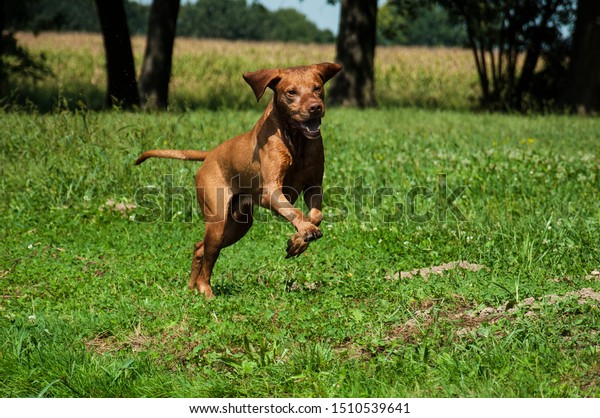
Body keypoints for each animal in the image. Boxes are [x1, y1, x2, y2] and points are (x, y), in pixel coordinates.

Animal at [137, 61, 342, 298]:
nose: (315, 107)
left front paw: (298, 241)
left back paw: (191, 288)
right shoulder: (271, 191)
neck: (295, 139)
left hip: (238, 226)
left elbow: (316, 214)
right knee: (208, 259)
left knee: (199, 248)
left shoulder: (314, 186)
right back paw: (206, 292)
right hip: (217, 222)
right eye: (291, 92)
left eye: (317, 88)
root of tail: (209, 155)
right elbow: (296, 211)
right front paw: (305, 230)